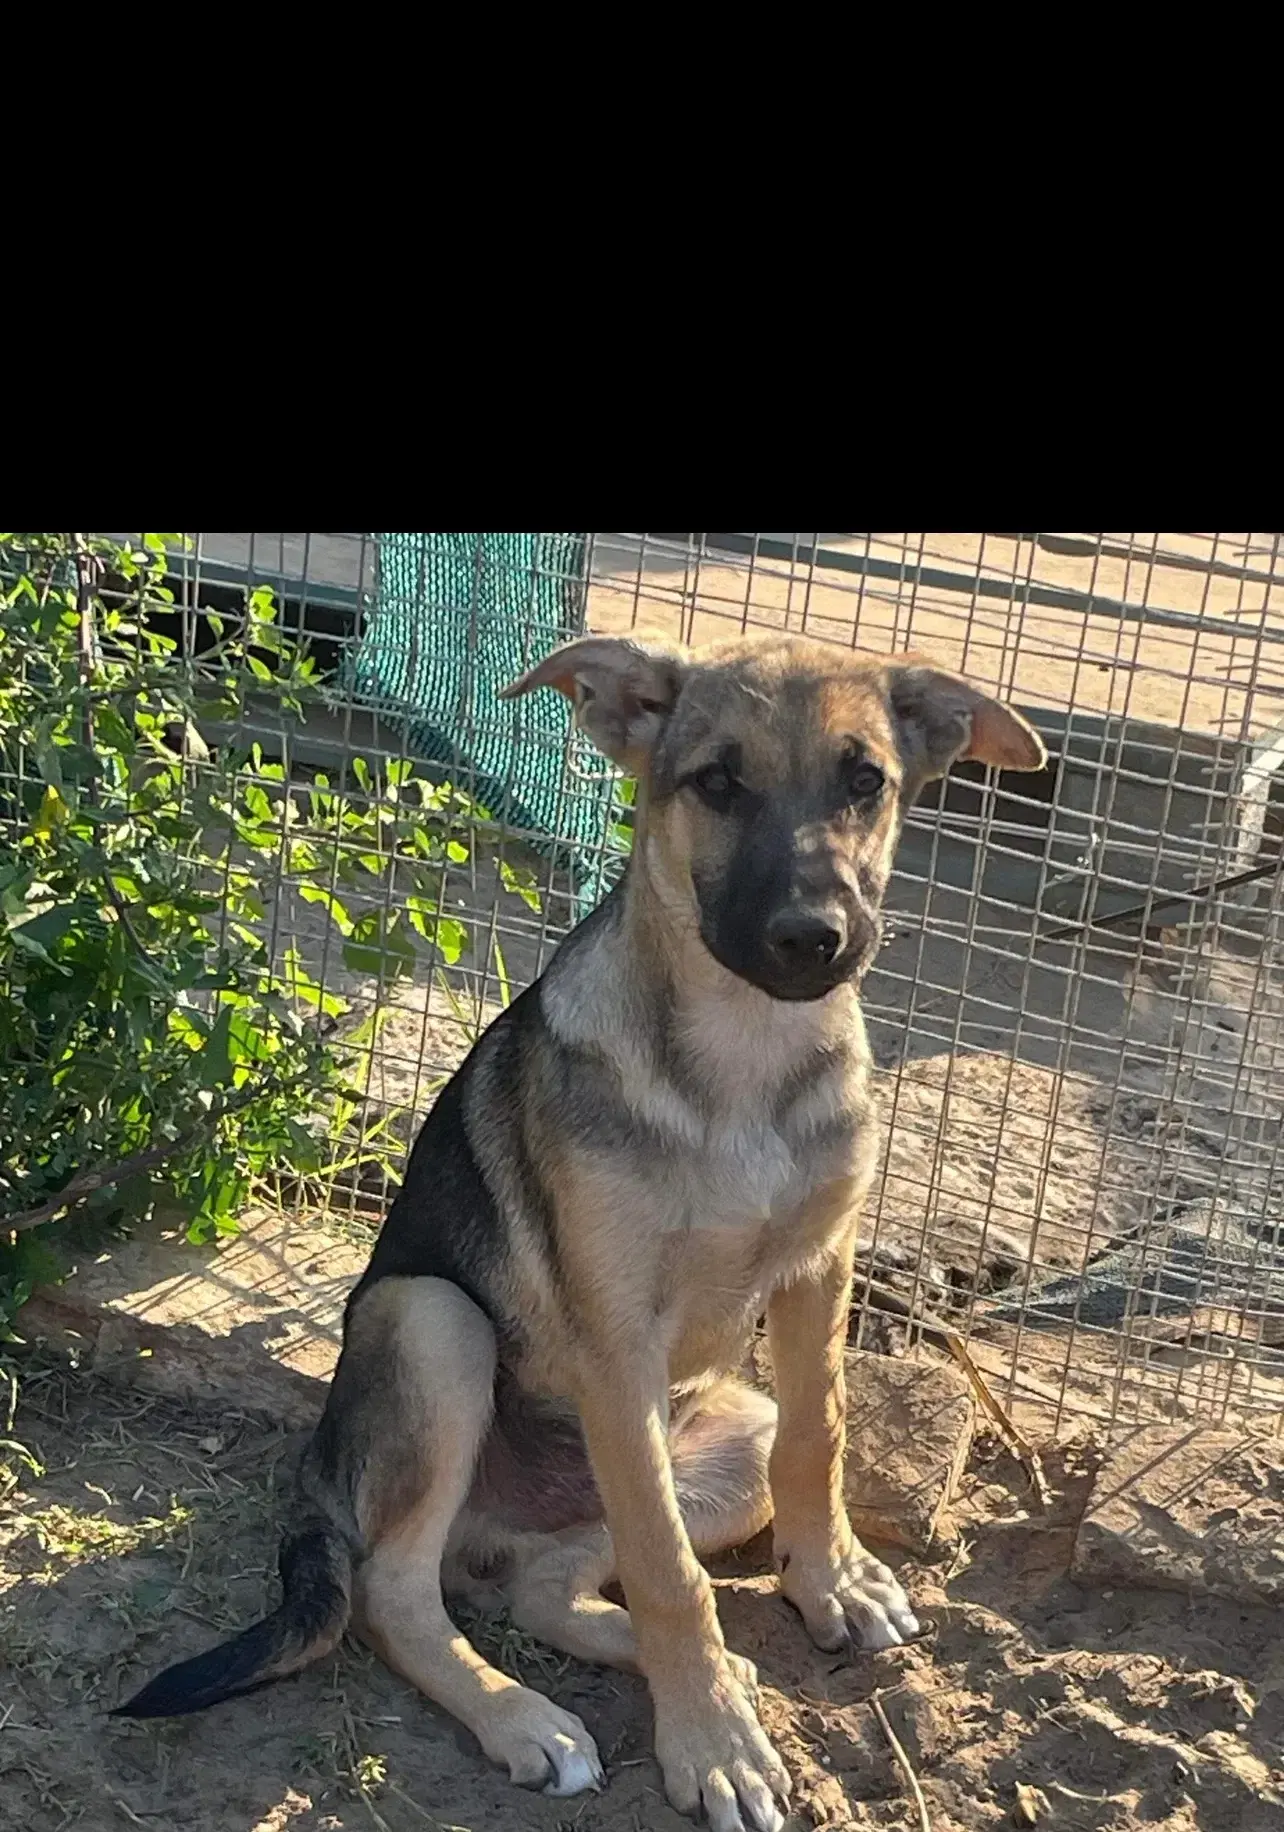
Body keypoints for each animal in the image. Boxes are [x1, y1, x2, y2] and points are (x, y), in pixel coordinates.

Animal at [118, 633, 1040, 1832]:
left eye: (865, 783)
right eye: (717, 781)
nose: (812, 939)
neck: (742, 1057)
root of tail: (322, 1467)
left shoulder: (816, 1271)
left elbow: (820, 1437)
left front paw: (828, 1580)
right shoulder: (617, 1336)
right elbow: (669, 1571)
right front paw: (713, 1749)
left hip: (711, 1439)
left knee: (546, 1582)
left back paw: (663, 1655)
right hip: (433, 1322)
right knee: (394, 1591)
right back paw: (530, 1718)